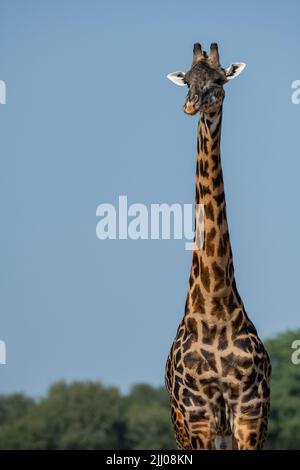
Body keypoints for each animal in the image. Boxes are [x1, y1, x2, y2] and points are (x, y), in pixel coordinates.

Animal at [164, 44, 272, 452]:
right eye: (187, 81)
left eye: (220, 81)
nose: (191, 106)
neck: (213, 311)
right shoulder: (197, 418)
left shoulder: (250, 415)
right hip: (180, 426)